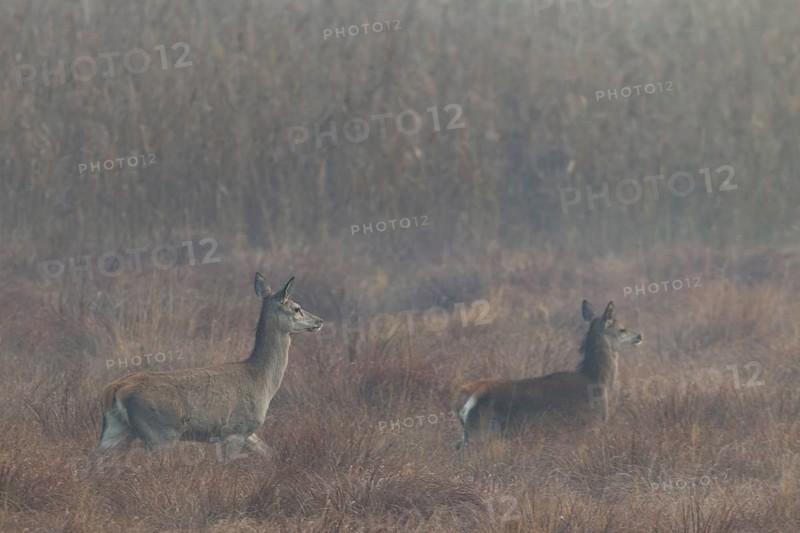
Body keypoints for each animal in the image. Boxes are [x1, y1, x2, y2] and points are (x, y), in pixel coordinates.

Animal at [91, 273, 322, 461]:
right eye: (297, 308)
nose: (319, 320)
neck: (262, 380)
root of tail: (113, 390)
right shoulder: (236, 429)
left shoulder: (248, 433)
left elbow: (269, 452)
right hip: (159, 434)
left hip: (115, 430)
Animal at [454, 300, 641, 449]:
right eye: (622, 329)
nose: (639, 335)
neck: (596, 381)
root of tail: (470, 401)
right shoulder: (588, 427)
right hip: (482, 432)